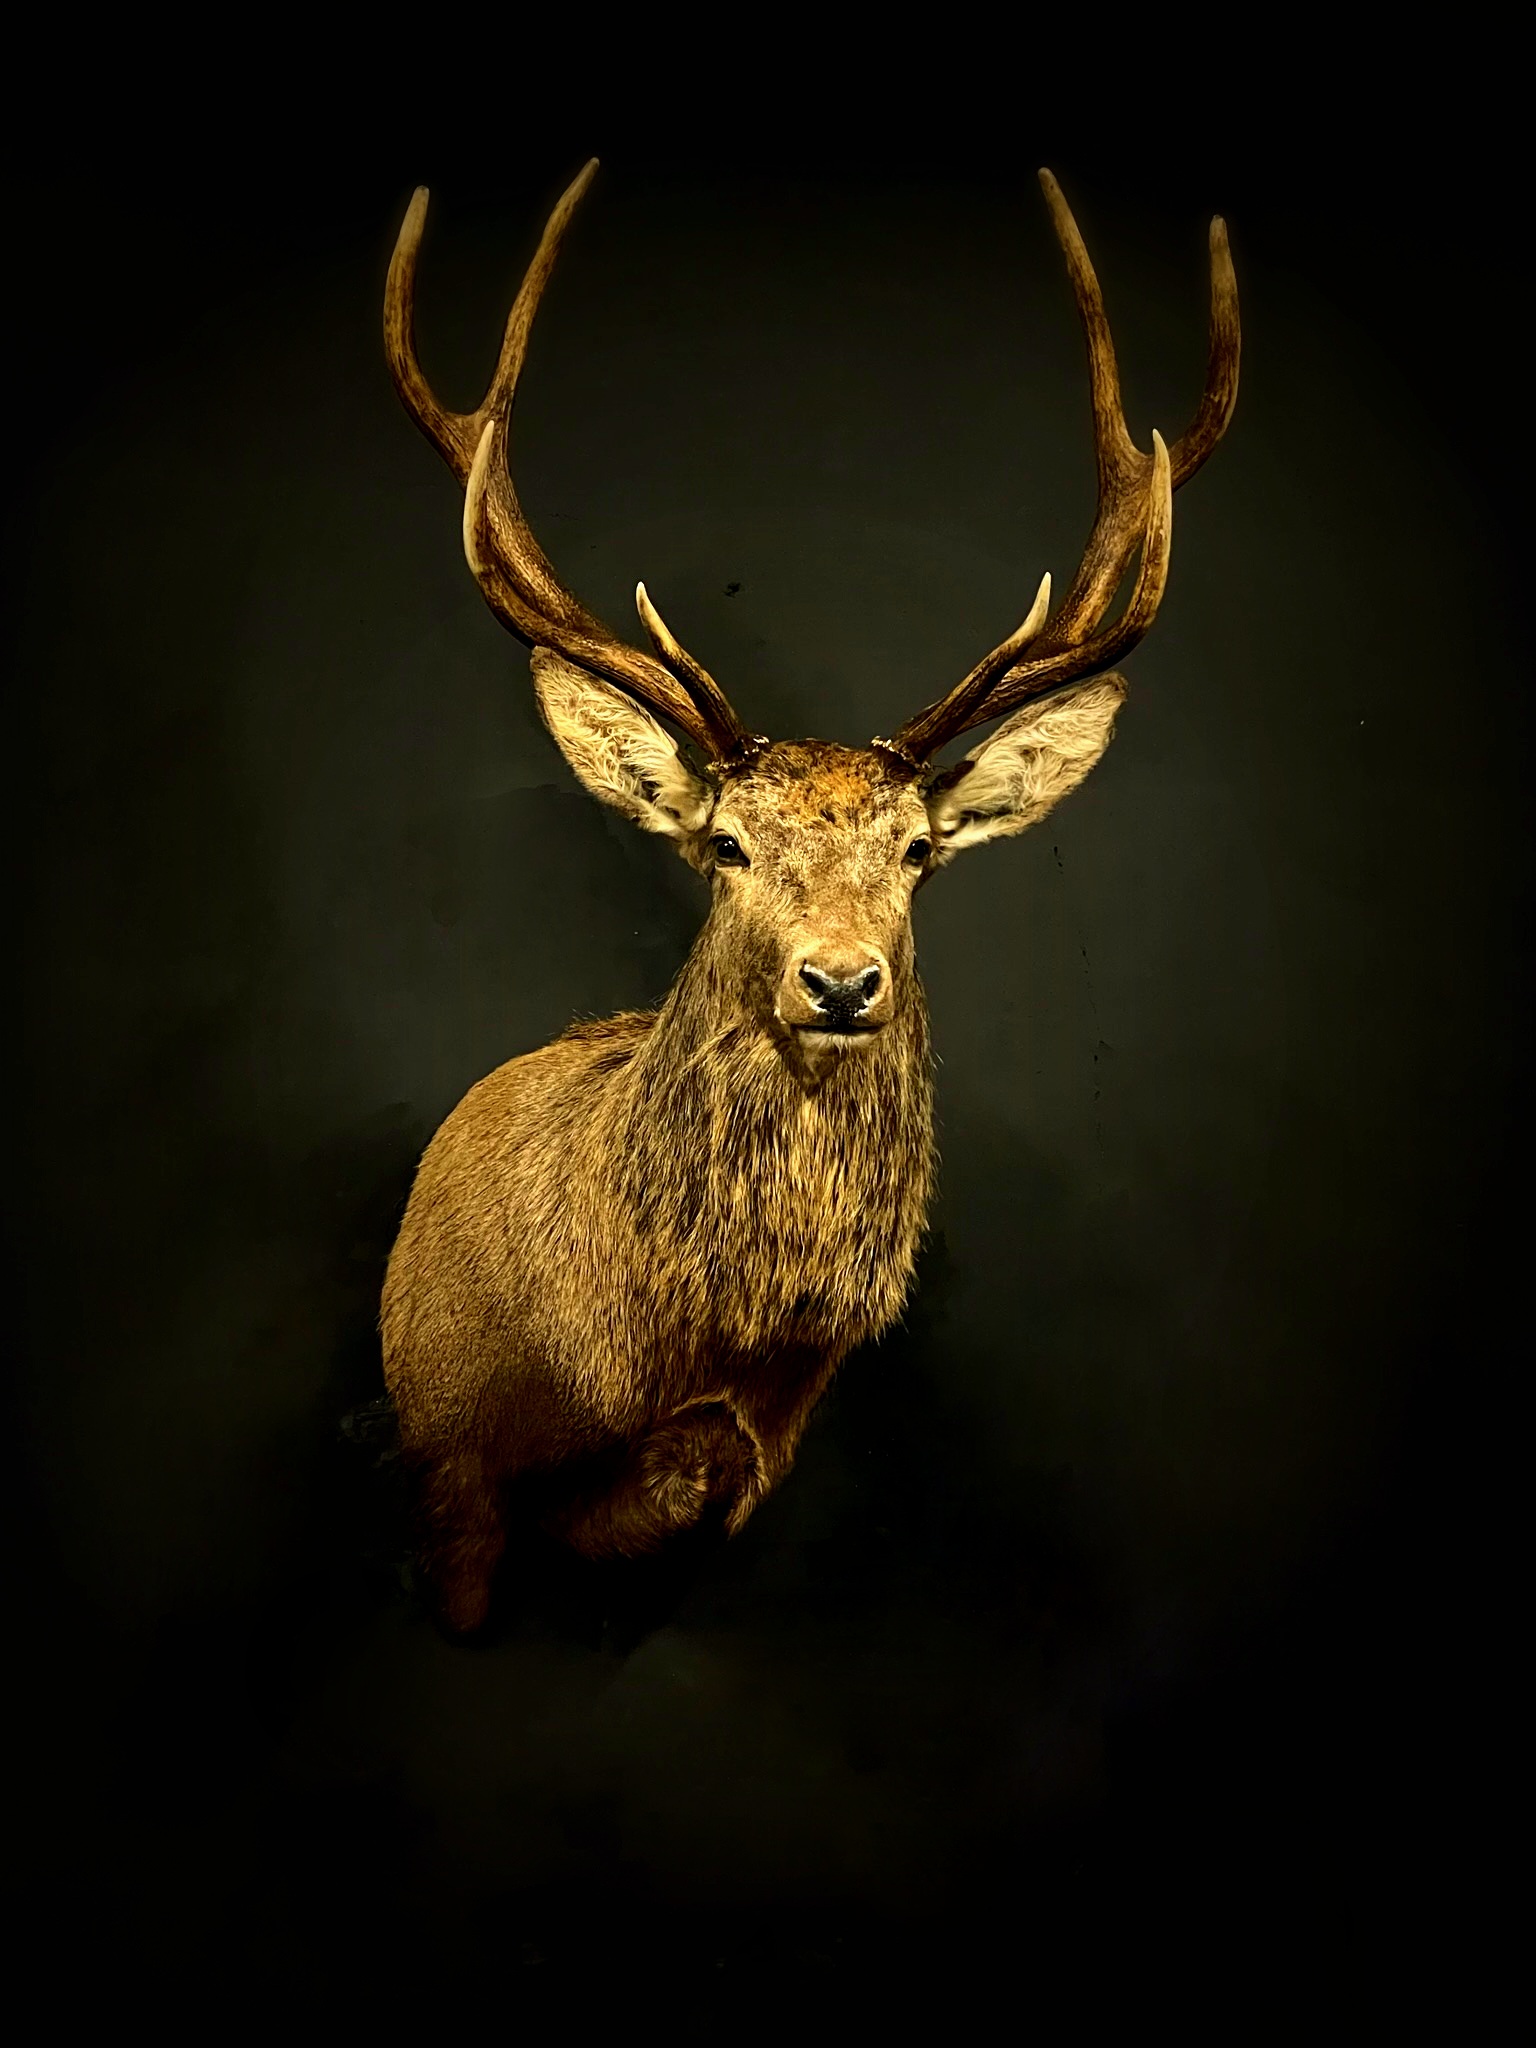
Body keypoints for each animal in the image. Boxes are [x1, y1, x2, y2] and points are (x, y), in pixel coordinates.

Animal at [378, 160, 1239, 1634]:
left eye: (920, 850)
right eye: (725, 843)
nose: (840, 979)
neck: (625, 1349)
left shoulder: (738, 1453)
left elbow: (693, 1475)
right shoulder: (448, 1463)